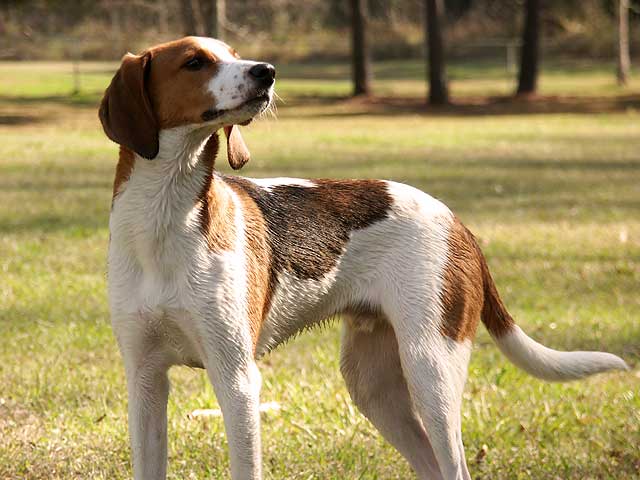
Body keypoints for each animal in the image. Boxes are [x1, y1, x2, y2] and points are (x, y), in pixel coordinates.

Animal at [97, 37, 628, 480]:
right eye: (195, 62)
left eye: (233, 53)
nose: (267, 71)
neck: (164, 219)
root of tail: (458, 223)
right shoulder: (145, 381)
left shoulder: (237, 380)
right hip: (374, 385)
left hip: (430, 371)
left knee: (454, 466)